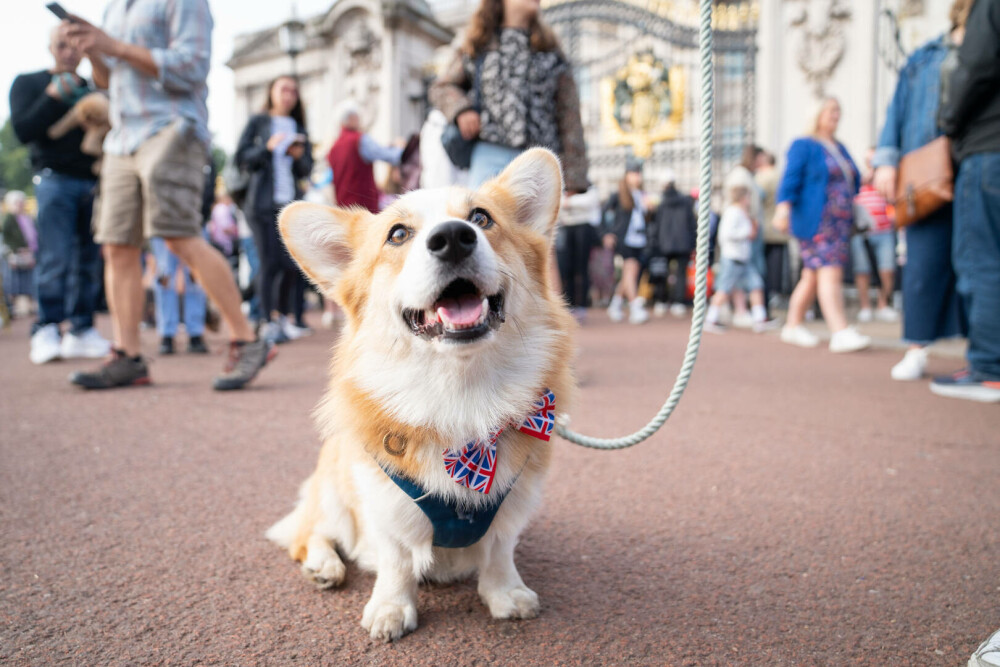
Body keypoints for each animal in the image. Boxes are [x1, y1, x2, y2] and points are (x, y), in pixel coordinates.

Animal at [270, 147, 576, 640]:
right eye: (398, 234)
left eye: (481, 217)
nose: (453, 237)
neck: (461, 394)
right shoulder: (384, 503)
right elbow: (395, 560)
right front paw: (391, 610)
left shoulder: (517, 497)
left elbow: (500, 549)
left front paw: (506, 594)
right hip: (333, 489)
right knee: (310, 534)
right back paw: (324, 566)